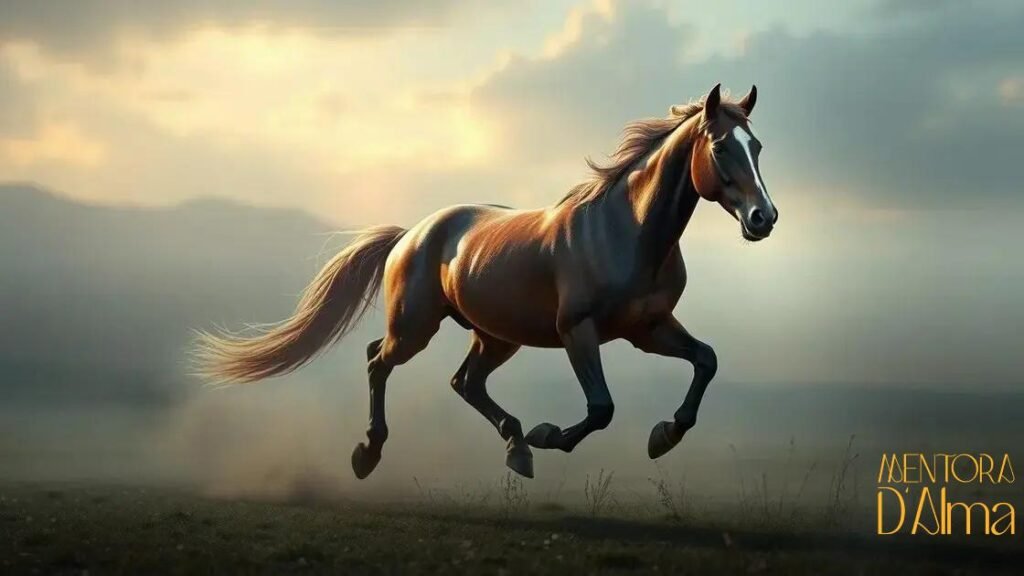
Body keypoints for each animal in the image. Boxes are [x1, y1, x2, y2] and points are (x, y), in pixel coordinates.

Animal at [194, 83, 779, 480]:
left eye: (757, 146)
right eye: (721, 147)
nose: (763, 219)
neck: (627, 231)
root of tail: (411, 234)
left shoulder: (648, 328)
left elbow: (706, 360)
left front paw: (665, 435)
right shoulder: (578, 331)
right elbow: (601, 408)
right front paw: (550, 436)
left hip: (496, 336)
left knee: (464, 382)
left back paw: (515, 446)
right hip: (417, 328)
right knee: (378, 361)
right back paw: (369, 453)